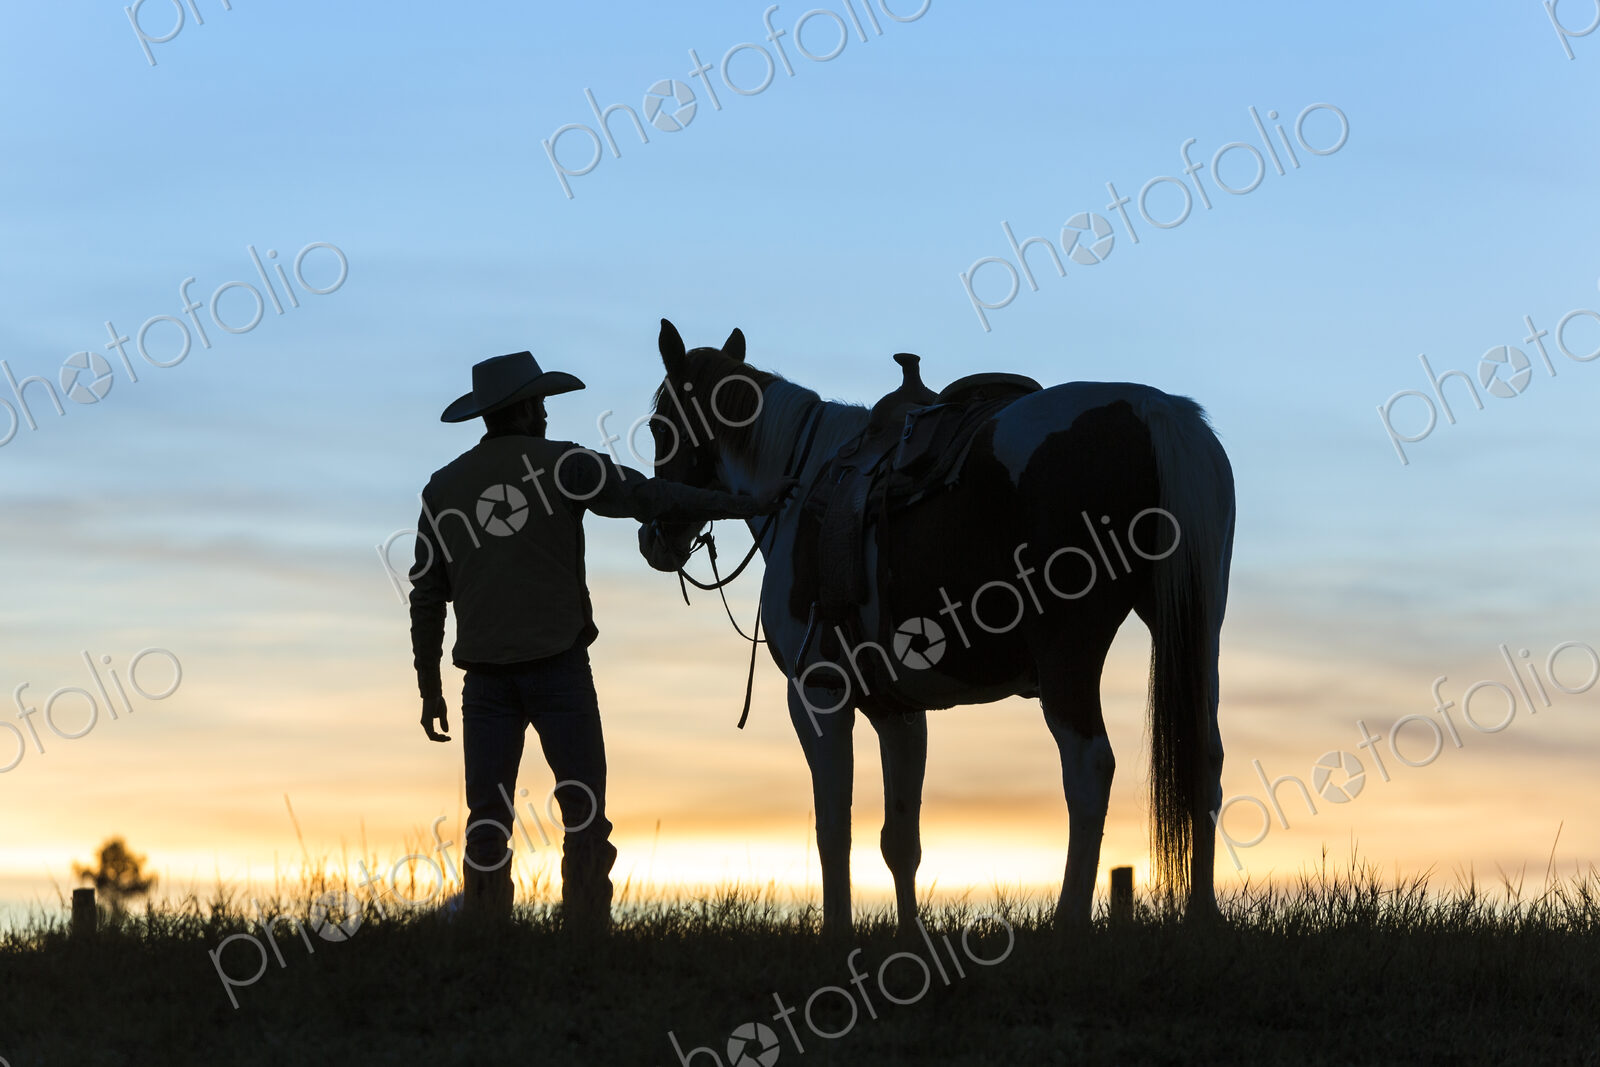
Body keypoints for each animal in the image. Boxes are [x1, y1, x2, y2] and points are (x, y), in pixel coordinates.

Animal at [638, 319, 1235, 933]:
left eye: (659, 428)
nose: (653, 538)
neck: (802, 484)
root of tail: (1153, 410)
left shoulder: (818, 692)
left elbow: (833, 828)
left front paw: (837, 932)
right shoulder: (897, 710)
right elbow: (900, 840)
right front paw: (909, 934)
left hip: (1070, 649)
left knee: (1089, 766)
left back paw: (1068, 920)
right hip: (1195, 630)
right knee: (1204, 760)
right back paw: (1202, 916)